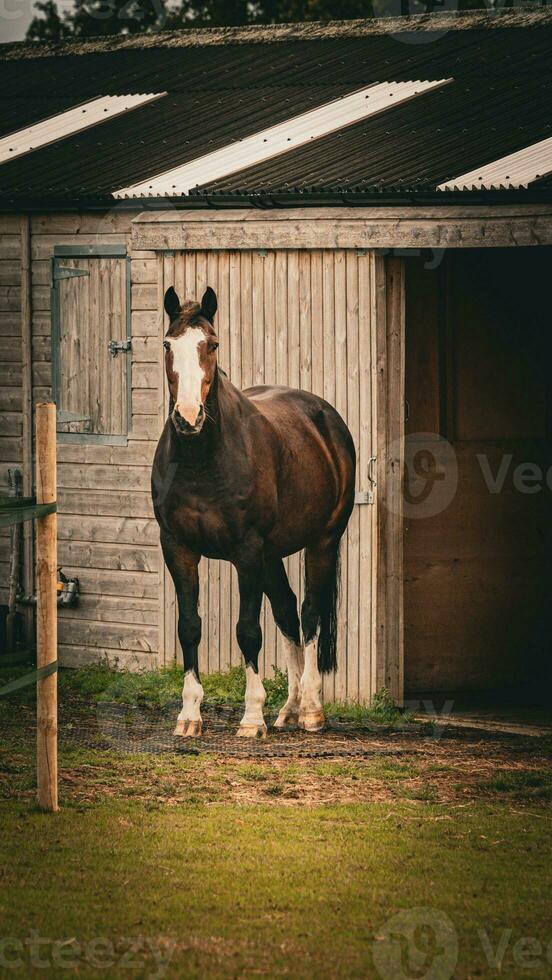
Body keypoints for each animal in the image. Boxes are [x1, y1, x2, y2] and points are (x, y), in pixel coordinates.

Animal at [153, 288, 356, 740]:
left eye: (212, 345)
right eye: (167, 345)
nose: (188, 417)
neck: (202, 461)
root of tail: (324, 417)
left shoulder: (245, 552)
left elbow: (248, 630)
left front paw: (250, 717)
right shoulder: (177, 548)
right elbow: (189, 626)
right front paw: (189, 714)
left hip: (322, 542)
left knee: (309, 614)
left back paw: (312, 710)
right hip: (273, 555)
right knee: (287, 611)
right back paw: (290, 709)